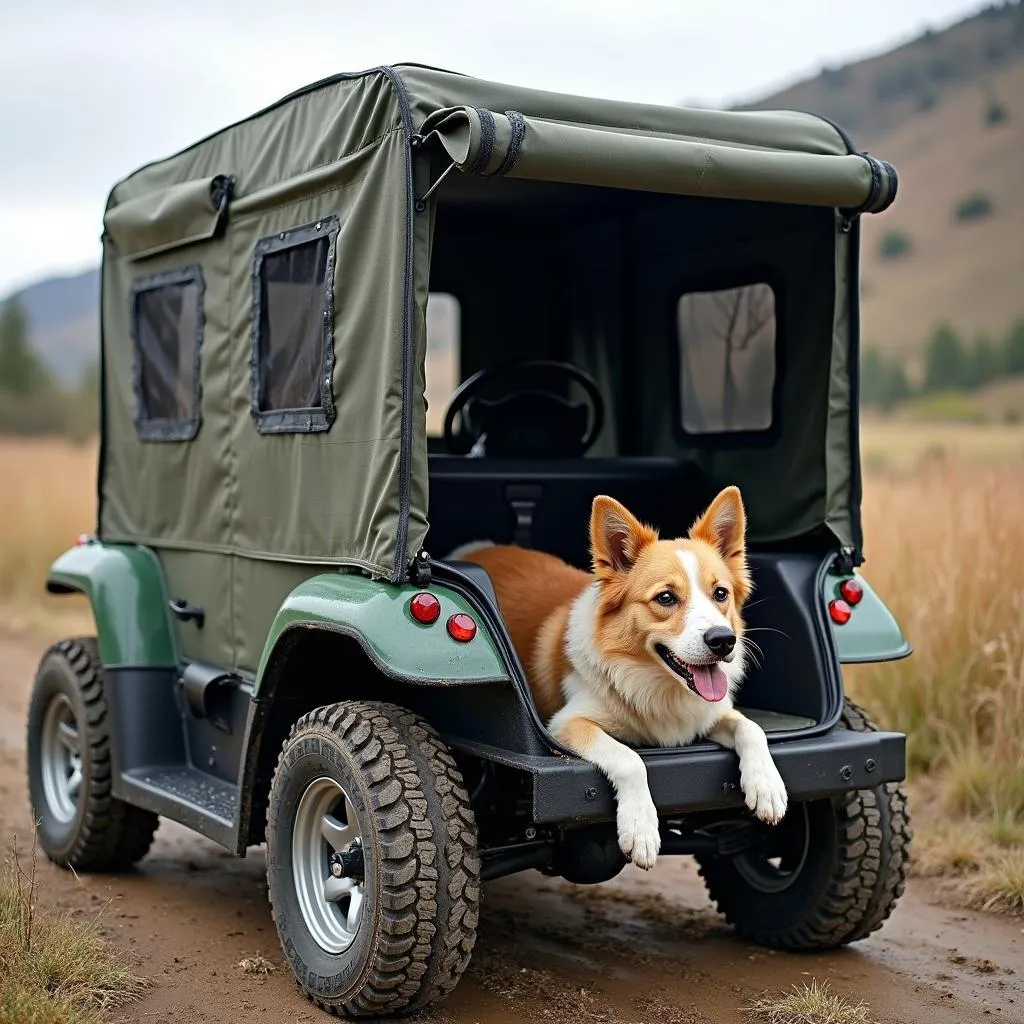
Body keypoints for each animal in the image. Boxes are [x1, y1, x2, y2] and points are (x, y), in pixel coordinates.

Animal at [446, 483, 782, 868]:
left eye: (721, 594)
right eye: (666, 598)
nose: (723, 640)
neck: (653, 683)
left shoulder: (709, 713)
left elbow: (751, 727)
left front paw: (768, 785)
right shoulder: (566, 725)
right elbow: (630, 759)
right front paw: (641, 828)